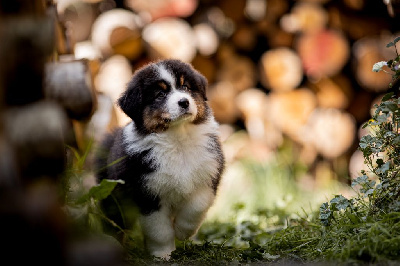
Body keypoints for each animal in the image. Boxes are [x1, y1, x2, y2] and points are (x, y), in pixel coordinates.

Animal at [94, 59, 225, 258]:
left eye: (185, 87)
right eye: (160, 94)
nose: (184, 102)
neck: (178, 140)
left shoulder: (208, 175)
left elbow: (196, 207)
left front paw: (182, 232)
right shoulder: (147, 192)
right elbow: (159, 229)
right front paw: (163, 254)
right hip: (112, 192)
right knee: (114, 221)